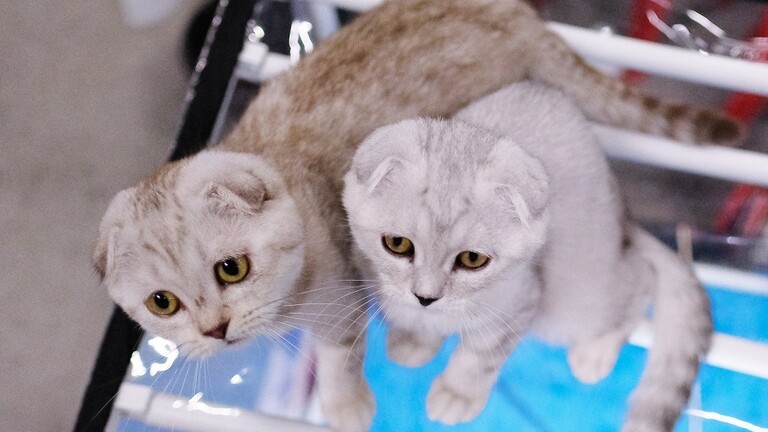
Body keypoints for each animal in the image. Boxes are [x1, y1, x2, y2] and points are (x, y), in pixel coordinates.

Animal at [342, 81, 712, 431]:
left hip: (580, 294)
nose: (425, 297)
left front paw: (457, 394)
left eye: (473, 259)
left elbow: (480, 357)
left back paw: (594, 353)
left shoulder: (521, 300)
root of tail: (627, 222)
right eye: (397, 243)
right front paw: (414, 341)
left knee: (640, 280)